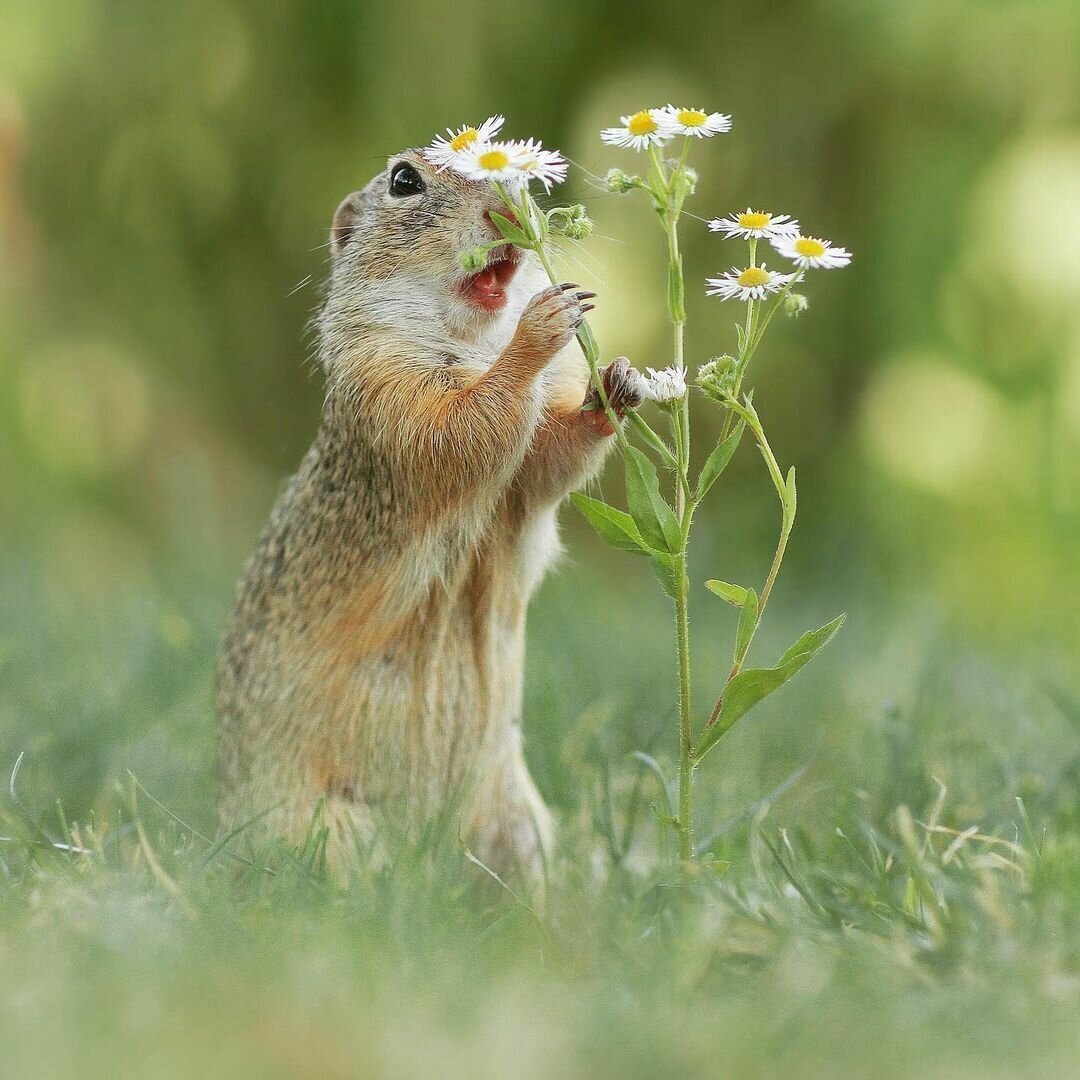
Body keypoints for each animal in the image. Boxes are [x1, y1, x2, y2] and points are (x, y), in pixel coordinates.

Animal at [218, 150, 639, 876]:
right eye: (404, 180)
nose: (510, 198)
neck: (473, 344)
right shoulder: (388, 391)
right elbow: (461, 430)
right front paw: (541, 327)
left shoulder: (522, 476)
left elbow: (547, 459)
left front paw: (614, 385)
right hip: (332, 832)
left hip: (519, 822)